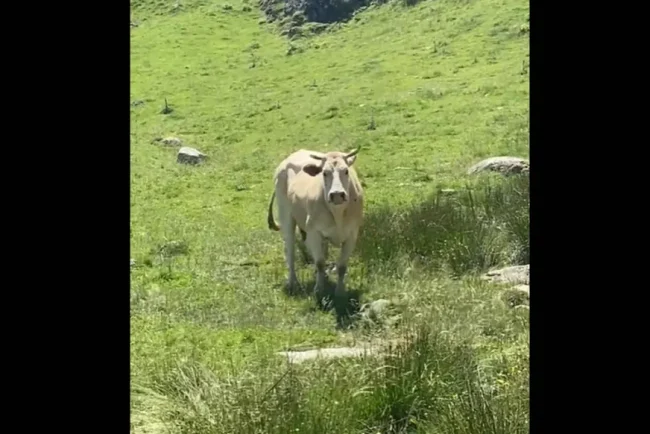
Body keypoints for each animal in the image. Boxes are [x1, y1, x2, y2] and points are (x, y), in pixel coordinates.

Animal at [267, 147, 364, 297]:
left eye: (346, 171)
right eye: (324, 173)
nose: (337, 195)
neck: (338, 213)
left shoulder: (352, 234)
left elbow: (342, 266)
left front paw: (340, 291)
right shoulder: (313, 232)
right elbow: (319, 262)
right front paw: (319, 289)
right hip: (286, 217)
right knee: (290, 252)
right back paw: (292, 283)